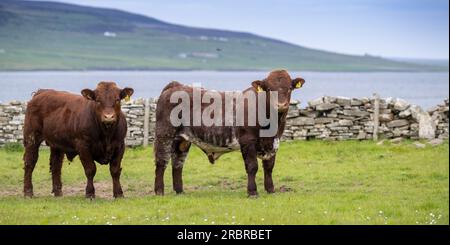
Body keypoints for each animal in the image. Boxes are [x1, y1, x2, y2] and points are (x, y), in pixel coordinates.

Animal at [155, 69, 306, 197]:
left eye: (290, 88)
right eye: (269, 89)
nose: (281, 105)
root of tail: (176, 86)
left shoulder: (274, 142)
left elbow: (269, 167)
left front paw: (270, 190)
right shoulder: (247, 141)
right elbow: (252, 166)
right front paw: (252, 192)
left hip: (182, 140)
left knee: (177, 163)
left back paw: (180, 191)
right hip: (164, 134)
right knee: (161, 161)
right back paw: (159, 192)